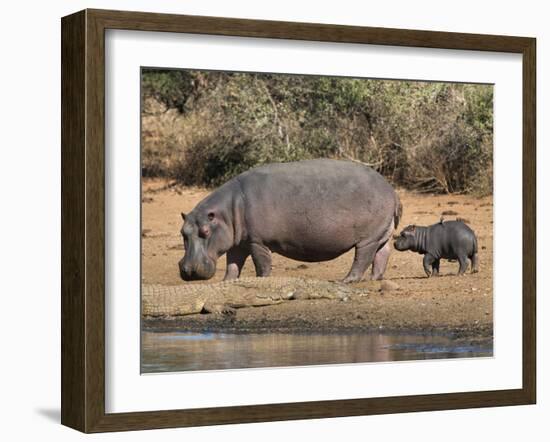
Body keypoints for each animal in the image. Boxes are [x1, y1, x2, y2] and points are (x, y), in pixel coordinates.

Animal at [179, 159, 404, 284]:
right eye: (183, 233)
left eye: (205, 231)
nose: (188, 270)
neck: (226, 212)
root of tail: (392, 190)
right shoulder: (238, 243)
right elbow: (233, 265)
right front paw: (227, 282)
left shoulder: (257, 241)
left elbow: (262, 264)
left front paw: (261, 281)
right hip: (382, 234)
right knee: (382, 254)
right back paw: (375, 279)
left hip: (368, 237)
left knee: (362, 257)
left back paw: (346, 280)